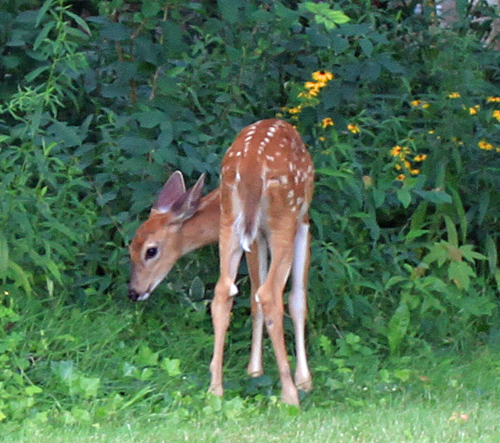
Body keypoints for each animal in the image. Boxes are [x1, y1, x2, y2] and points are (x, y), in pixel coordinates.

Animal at [128, 118, 312, 406]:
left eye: (149, 251)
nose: (134, 292)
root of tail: (251, 165)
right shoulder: (302, 221)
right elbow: (296, 299)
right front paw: (304, 381)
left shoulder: (254, 235)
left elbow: (252, 299)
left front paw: (254, 371)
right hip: (285, 217)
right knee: (270, 294)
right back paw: (290, 394)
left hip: (232, 223)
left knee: (223, 292)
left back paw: (215, 388)